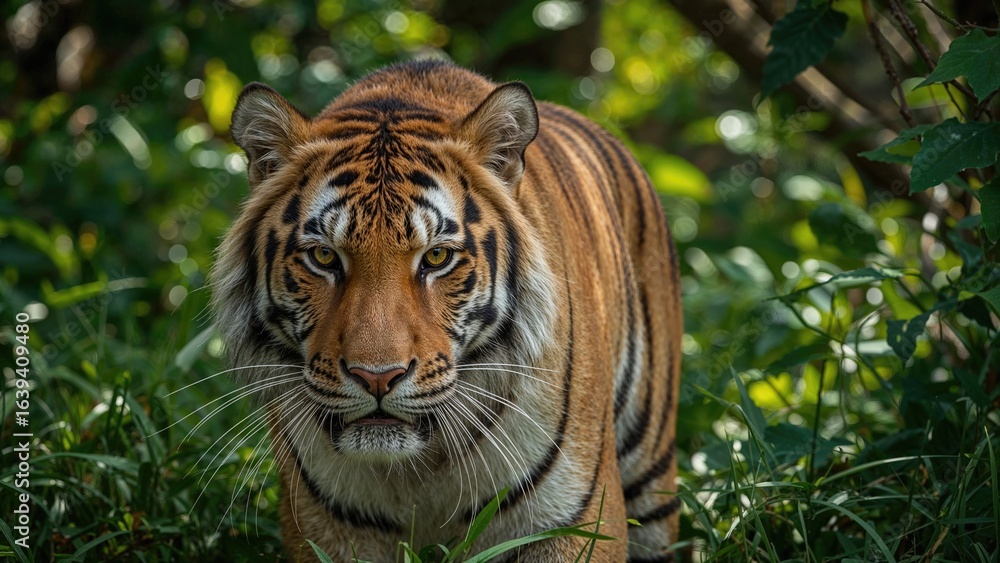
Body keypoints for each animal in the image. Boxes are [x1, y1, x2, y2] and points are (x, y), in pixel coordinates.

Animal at [211, 60, 681, 562]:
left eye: (436, 257)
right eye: (324, 257)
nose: (377, 377)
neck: (417, 468)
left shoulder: (570, 523)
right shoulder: (329, 532)